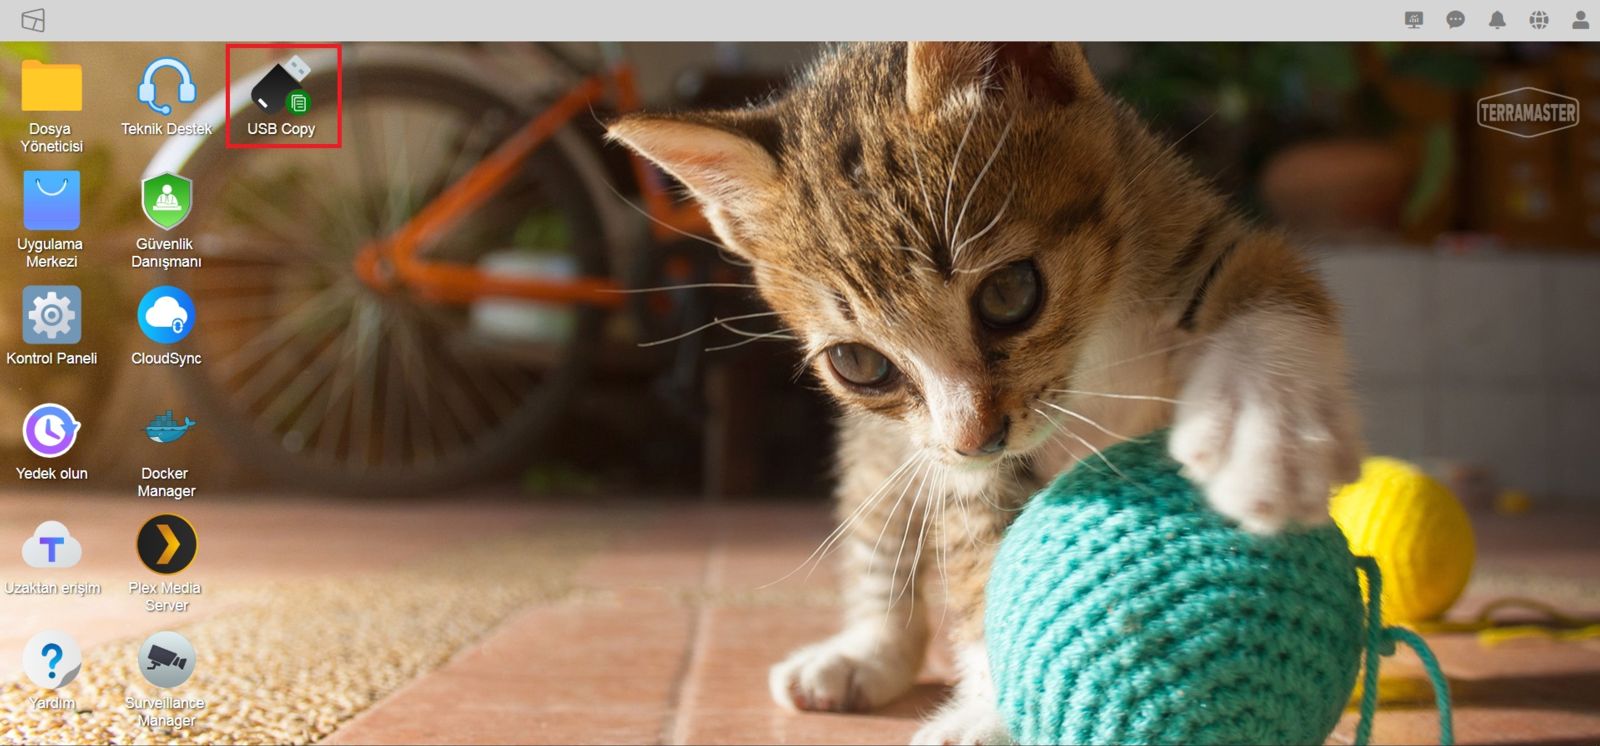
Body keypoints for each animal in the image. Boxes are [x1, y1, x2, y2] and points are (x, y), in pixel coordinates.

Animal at [609, 42, 1363, 745]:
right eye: (859, 363)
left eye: (1009, 292)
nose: (976, 439)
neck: (1092, 349)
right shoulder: (954, 464)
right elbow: (983, 560)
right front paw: (1001, 707)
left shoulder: (1192, 232)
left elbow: (1268, 288)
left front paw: (1263, 438)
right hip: (889, 454)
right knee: (880, 533)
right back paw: (862, 655)